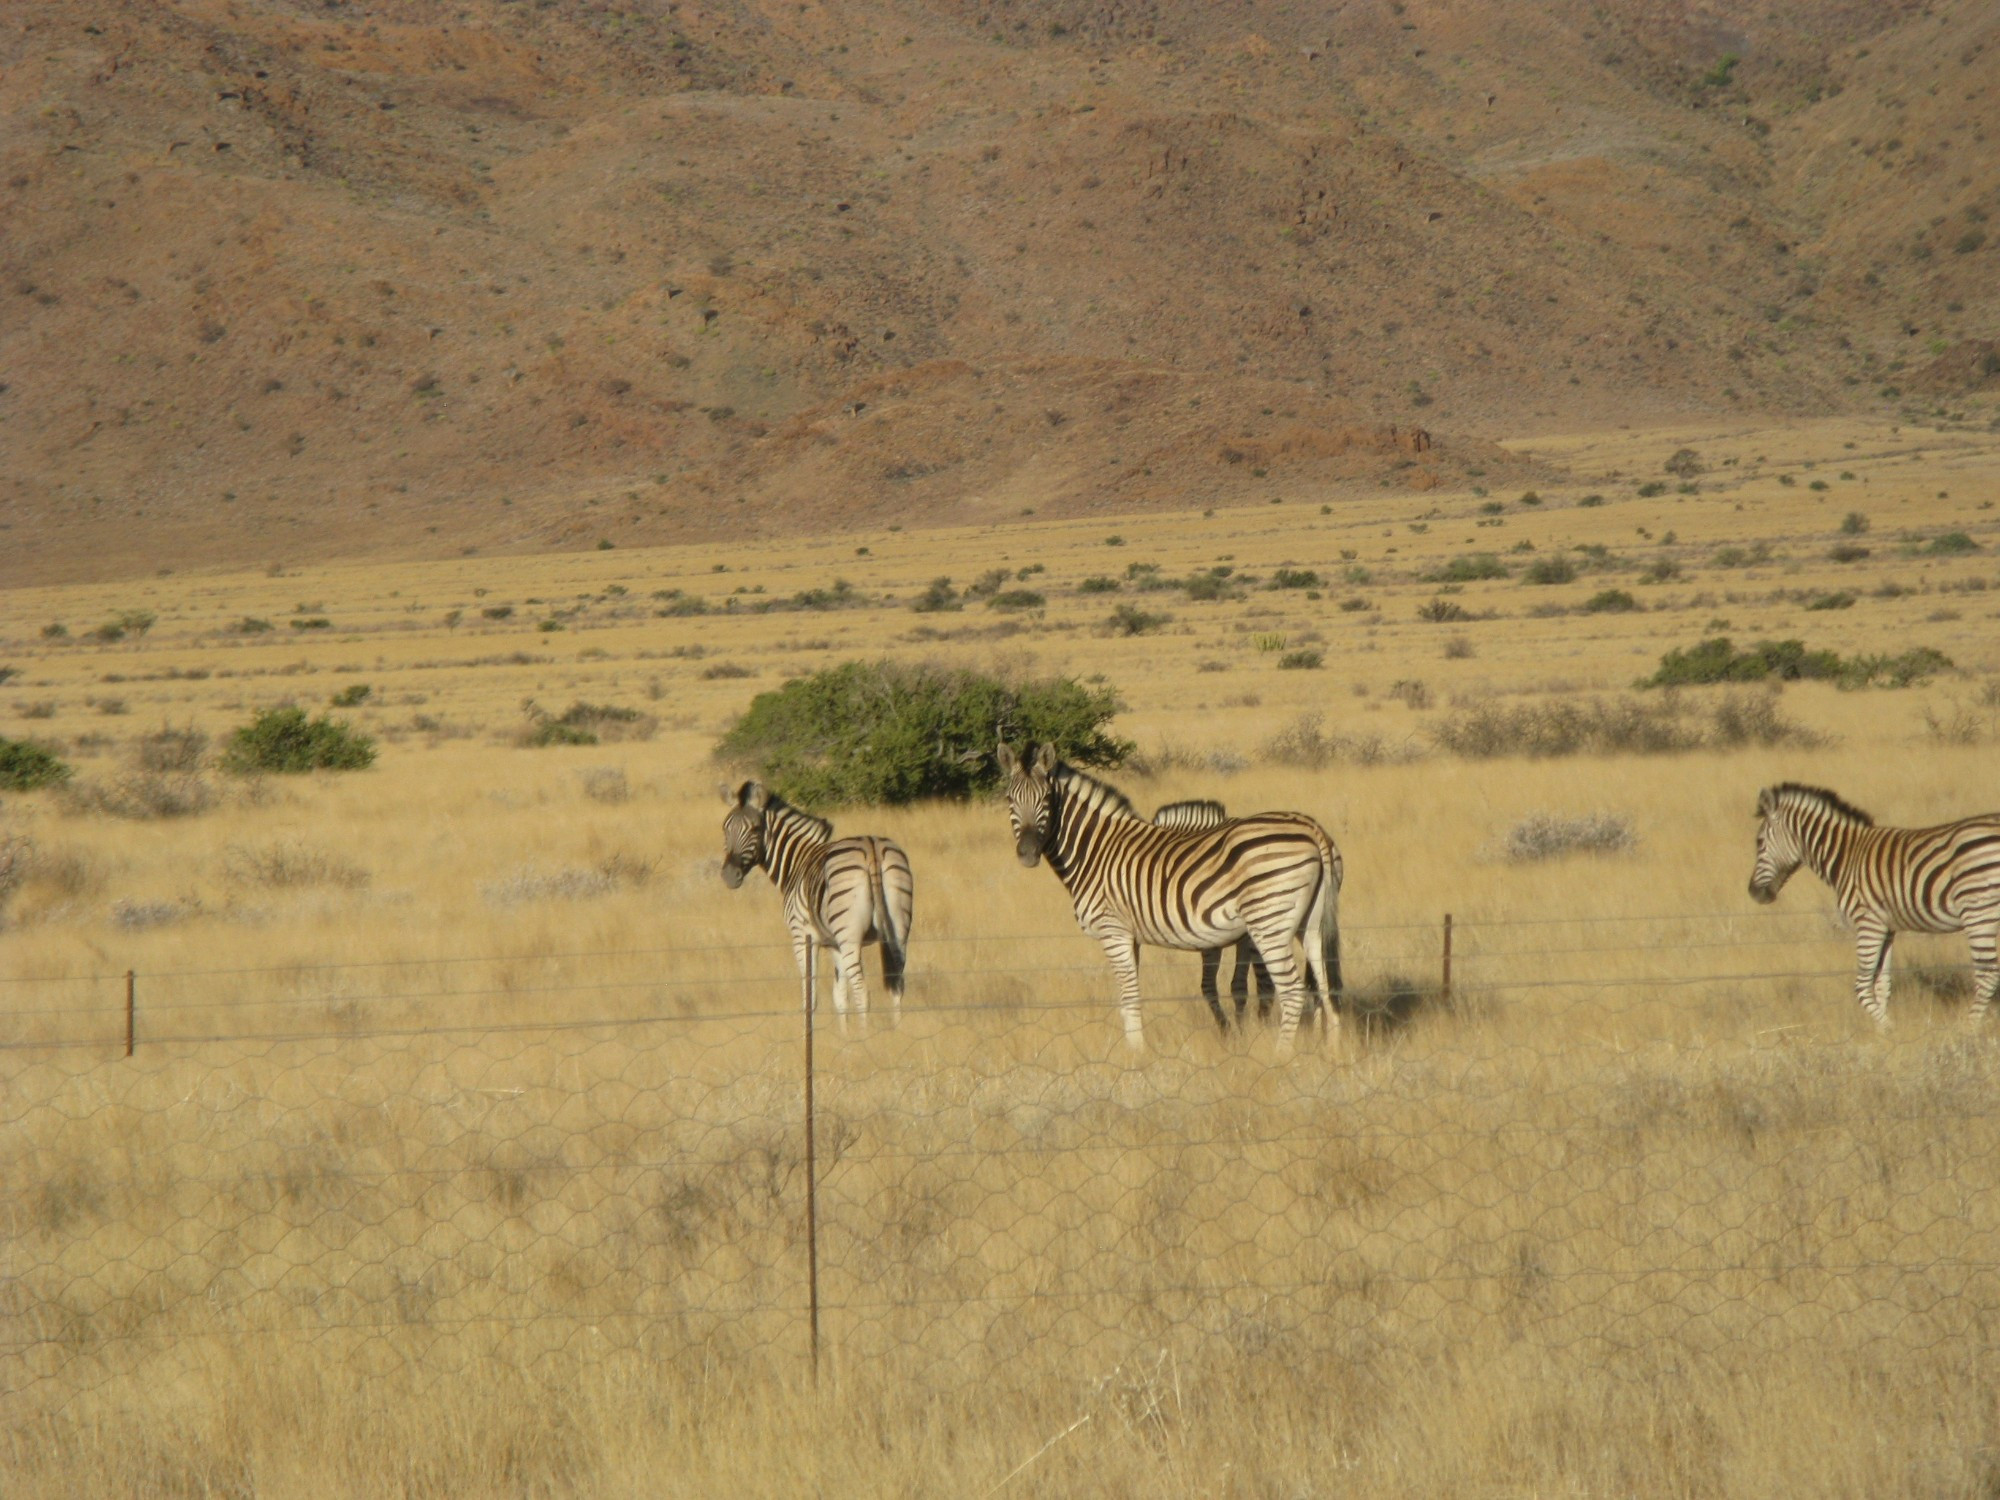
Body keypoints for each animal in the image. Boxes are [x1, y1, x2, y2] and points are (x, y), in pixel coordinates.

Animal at [720, 776, 916, 1032]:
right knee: (897, 986)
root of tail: (871, 847)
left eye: (754, 829)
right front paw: (845, 1038)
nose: (729, 875)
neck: (798, 861)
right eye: (725, 828)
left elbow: (810, 998)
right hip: (898, 929)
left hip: (850, 935)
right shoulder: (833, 943)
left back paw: (866, 1037)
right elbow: (839, 997)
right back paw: (897, 1033)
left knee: (862, 991)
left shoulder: (803, 936)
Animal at [1152, 800, 1272, 1032]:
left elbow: (1238, 985)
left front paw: (1240, 1030)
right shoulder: (1210, 942)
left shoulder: (1242, 939)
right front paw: (1228, 1029)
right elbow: (1209, 986)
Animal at [1744, 780, 2000, 1032]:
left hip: (1978, 912)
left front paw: (1890, 1029)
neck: (1846, 858)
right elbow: (1882, 984)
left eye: (1759, 842)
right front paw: (1882, 1034)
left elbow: (1861, 987)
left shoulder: (1868, 923)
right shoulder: (1887, 928)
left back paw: (1969, 1029)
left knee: (1988, 975)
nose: (1753, 892)